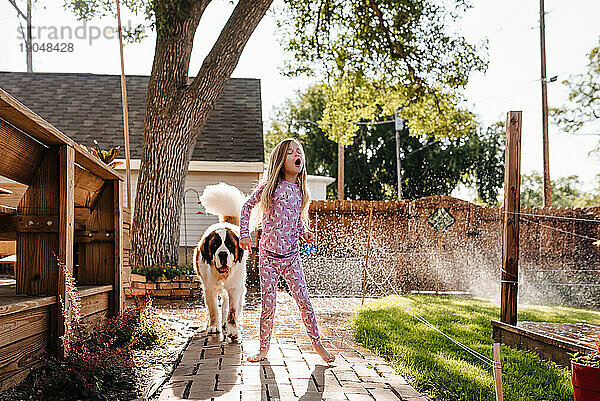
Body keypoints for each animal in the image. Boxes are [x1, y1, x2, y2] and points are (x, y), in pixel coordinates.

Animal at [193, 181, 247, 340]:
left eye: (230, 245)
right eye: (215, 245)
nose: (223, 254)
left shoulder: (235, 287)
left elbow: (232, 310)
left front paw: (233, 330)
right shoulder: (209, 287)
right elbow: (213, 309)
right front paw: (213, 326)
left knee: (228, 304)